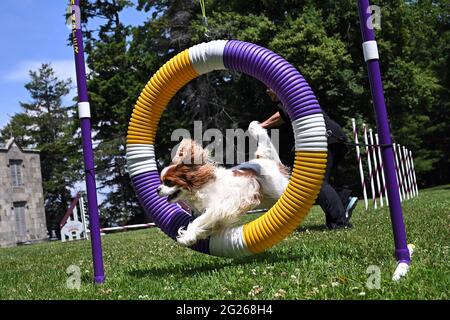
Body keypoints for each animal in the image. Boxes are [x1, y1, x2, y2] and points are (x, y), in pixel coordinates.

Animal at [156, 121, 290, 246]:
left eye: (168, 182)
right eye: (161, 181)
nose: (157, 189)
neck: (200, 188)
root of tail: (262, 159)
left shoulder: (218, 207)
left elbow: (198, 220)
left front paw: (186, 237)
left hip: (277, 189)